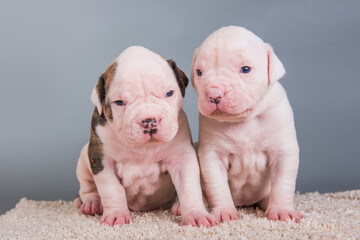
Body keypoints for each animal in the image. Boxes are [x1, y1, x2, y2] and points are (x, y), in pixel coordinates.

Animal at [76, 45, 217, 227]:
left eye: (169, 93)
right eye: (119, 102)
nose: (149, 121)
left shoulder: (182, 159)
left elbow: (189, 188)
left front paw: (196, 214)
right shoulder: (102, 161)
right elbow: (111, 189)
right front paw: (116, 214)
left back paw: (179, 206)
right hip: (84, 158)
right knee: (87, 188)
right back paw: (92, 203)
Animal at [191, 26, 304, 223]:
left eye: (245, 69)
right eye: (199, 72)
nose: (214, 93)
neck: (243, 121)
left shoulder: (283, 151)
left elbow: (283, 183)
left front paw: (282, 210)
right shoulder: (212, 155)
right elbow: (217, 186)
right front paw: (223, 211)